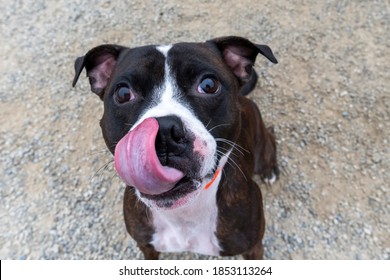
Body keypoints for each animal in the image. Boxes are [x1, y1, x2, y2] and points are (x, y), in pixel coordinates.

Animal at [73, 36, 278, 260]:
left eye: (208, 85)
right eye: (123, 93)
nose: (164, 133)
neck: (183, 213)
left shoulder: (253, 248)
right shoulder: (146, 246)